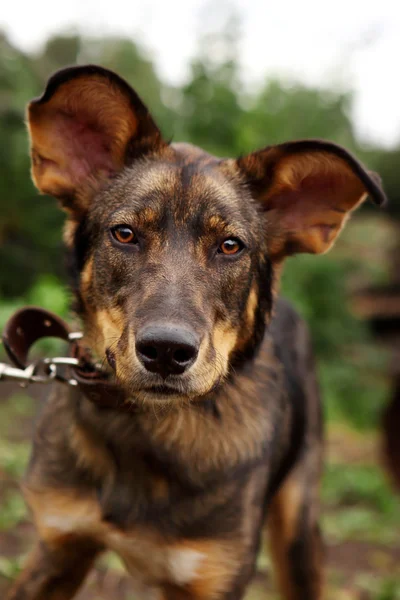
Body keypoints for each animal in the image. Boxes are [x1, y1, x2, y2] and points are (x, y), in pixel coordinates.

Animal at [4, 65, 386, 600]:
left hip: (298, 528)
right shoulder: (58, 549)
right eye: (124, 234)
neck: (145, 430)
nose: (166, 351)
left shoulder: (214, 579)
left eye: (230, 246)